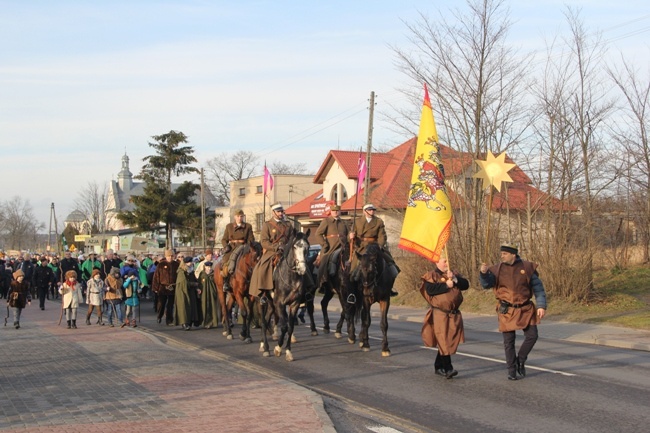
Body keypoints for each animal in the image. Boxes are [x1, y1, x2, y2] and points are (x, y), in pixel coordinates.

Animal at [256, 230, 310, 362]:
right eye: (295, 246)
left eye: (307, 247)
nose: (302, 269)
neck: (291, 277)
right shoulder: (280, 303)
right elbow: (284, 327)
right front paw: (278, 349)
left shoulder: (294, 304)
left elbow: (290, 327)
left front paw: (288, 351)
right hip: (260, 300)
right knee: (263, 322)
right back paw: (265, 348)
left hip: (271, 304)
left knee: (267, 319)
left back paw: (262, 344)